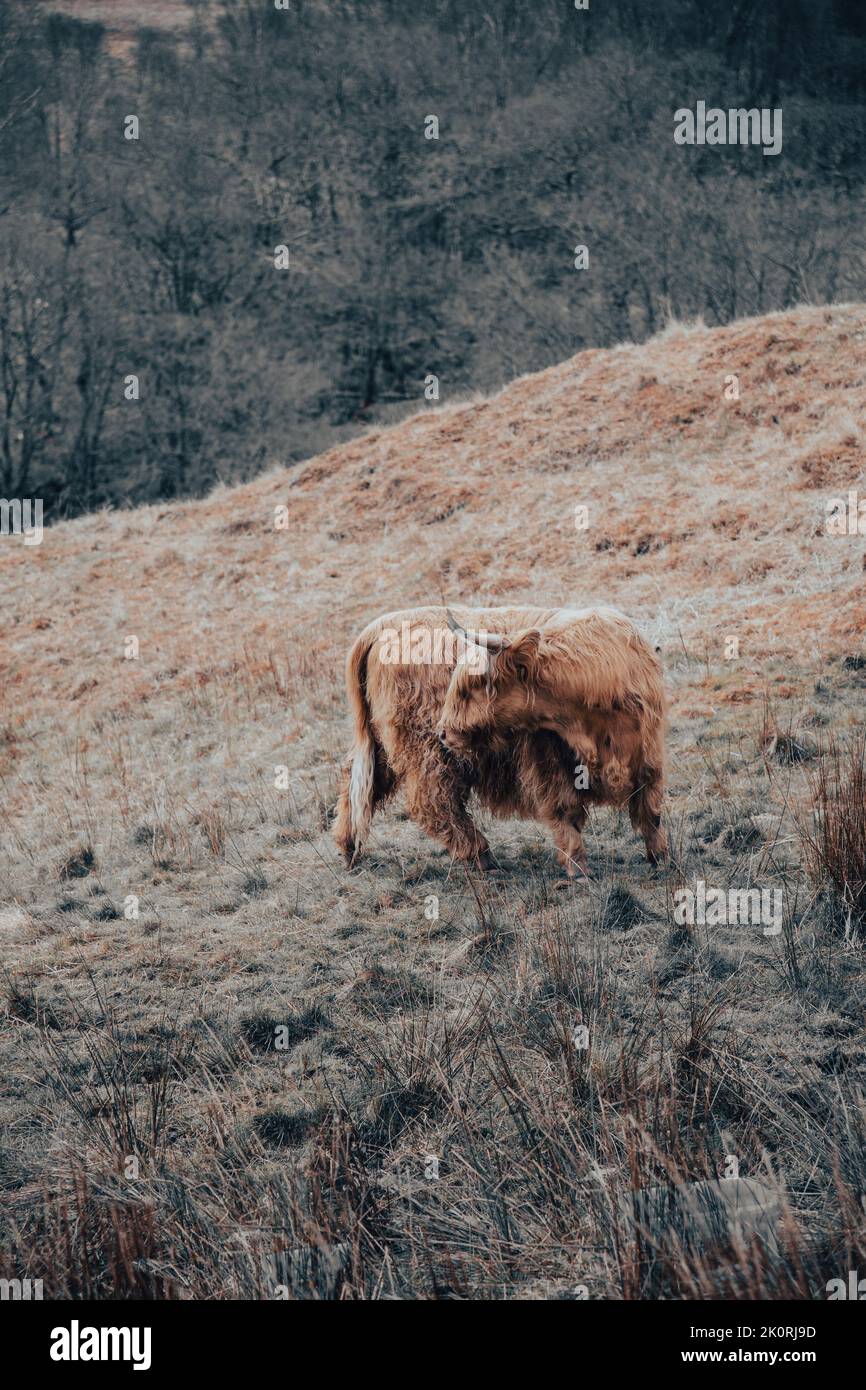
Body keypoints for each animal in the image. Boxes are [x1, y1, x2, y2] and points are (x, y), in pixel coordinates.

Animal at [333, 600, 670, 878]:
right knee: (431, 801)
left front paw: (661, 860)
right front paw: (578, 869)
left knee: (359, 785)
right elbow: (566, 810)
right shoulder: (548, 758)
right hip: (425, 751)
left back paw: (350, 849)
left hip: (383, 744)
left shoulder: (648, 753)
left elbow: (650, 809)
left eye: (469, 689)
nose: (444, 730)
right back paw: (482, 856)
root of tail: (379, 626)